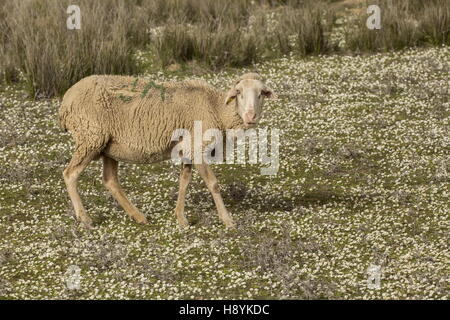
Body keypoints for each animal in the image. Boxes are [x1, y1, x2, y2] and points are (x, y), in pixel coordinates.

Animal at [58, 72, 276, 229]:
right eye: (238, 92)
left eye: (261, 93)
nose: (250, 116)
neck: (216, 108)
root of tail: (66, 100)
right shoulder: (197, 146)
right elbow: (213, 184)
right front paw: (227, 220)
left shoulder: (188, 148)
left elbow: (184, 181)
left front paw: (181, 219)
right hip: (90, 137)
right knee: (70, 174)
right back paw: (85, 218)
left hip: (109, 146)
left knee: (110, 180)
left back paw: (138, 216)